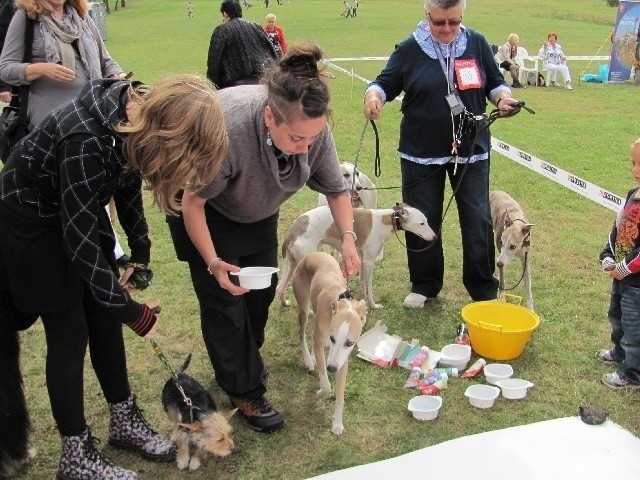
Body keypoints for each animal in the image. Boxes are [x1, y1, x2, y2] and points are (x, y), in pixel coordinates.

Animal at [276, 202, 436, 308]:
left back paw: (285, 303)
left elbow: (362, 282)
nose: (435, 237)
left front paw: (364, 300)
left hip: (292, 264)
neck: (386, 220)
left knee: (280, 288)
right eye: (422, 223)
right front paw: (373, 305)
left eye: (426, 221)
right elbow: (369, 288)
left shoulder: (362, 259)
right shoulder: (369, 262)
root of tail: (291, 233)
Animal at [292, 251, 368, 436]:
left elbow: (340, 397)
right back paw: (308, 360)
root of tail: (311, 254)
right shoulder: (323, 346)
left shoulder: (342, 361)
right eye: (333, 338)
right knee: (302, 335)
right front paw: (320, 392)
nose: (332, 368)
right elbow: (326, 385)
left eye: (350, 343)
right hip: (303, 306)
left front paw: (337, 424)